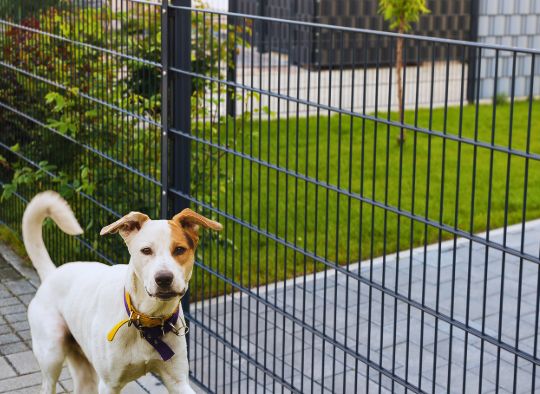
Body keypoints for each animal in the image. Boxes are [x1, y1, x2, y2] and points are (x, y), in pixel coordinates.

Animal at [23, 190, 221, 390]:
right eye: (146, 250)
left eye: (180, 249)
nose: (164, 278)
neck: (147, 322)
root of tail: (52, 273)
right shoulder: (109, 384)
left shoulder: (178, 381)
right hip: (52, 354)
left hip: (83, 369)